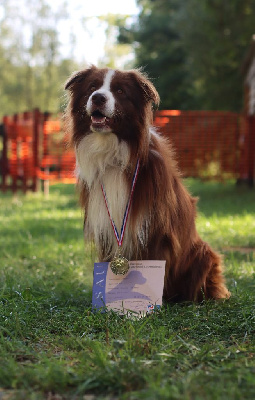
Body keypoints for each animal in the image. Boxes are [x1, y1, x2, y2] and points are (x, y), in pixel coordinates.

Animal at [64, 65, 230, 302]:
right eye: (92, 87)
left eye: (120, 91)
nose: (97, 98)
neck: (114, 156)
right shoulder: (105, 224)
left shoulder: (155, 225)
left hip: (203, 253)